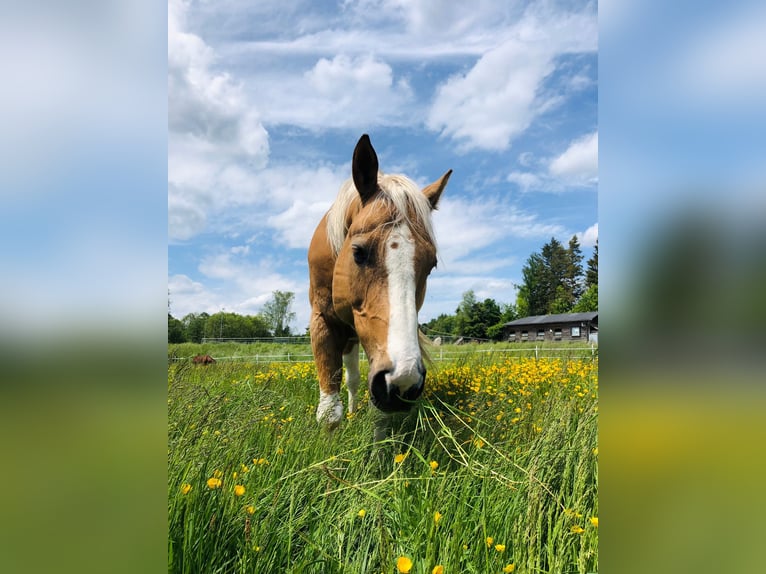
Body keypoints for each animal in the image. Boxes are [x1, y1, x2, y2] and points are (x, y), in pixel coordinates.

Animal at [308, 135, 452, 432]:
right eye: (359, 252)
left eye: (431, 265)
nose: (404, 382)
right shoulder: (322, 321)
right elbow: (329, 412)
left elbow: (379, 416)